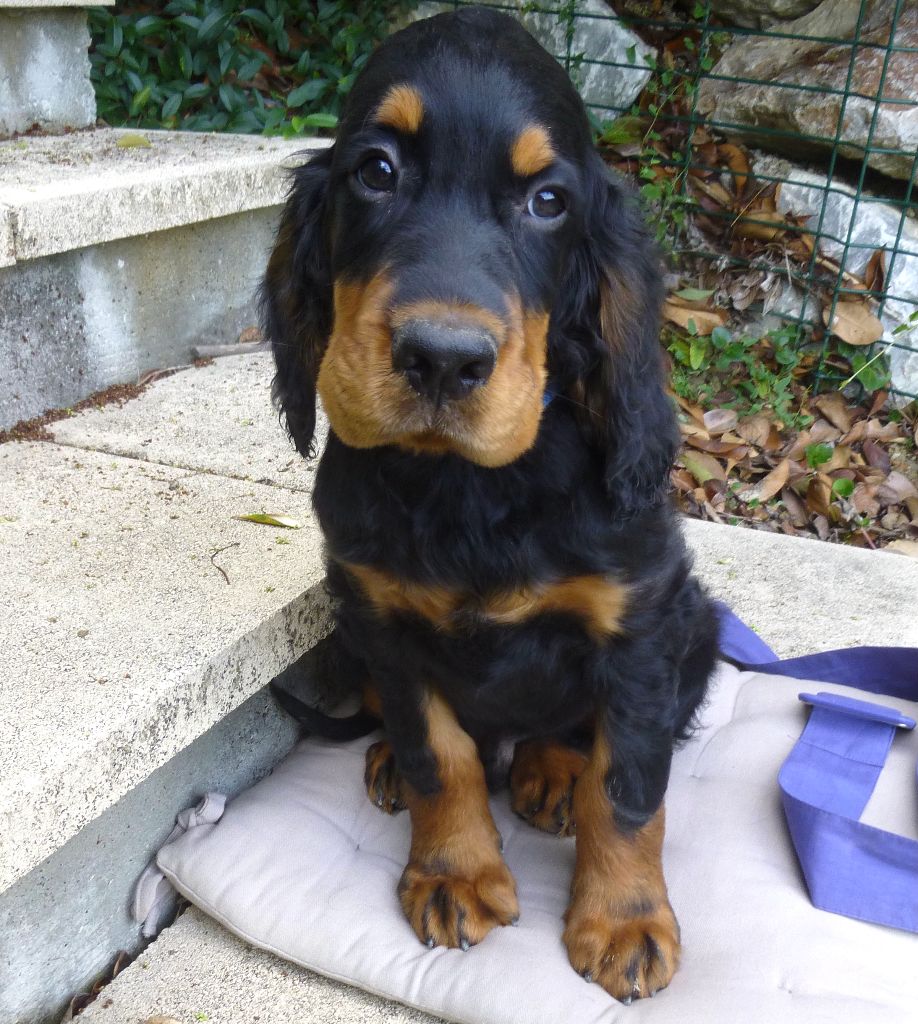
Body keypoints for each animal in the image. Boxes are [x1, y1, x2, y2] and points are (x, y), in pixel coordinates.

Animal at [262, 4, 721, 1003]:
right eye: (376, 171)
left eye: (549, 202)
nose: (443, 359)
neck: (469, 484)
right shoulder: (381, 617)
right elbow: (441, 753)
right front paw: (454, 873)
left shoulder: (642, 624)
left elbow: (628, 784)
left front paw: (624, 921)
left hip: (700, 623)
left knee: (577, 737)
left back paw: (550, 775)